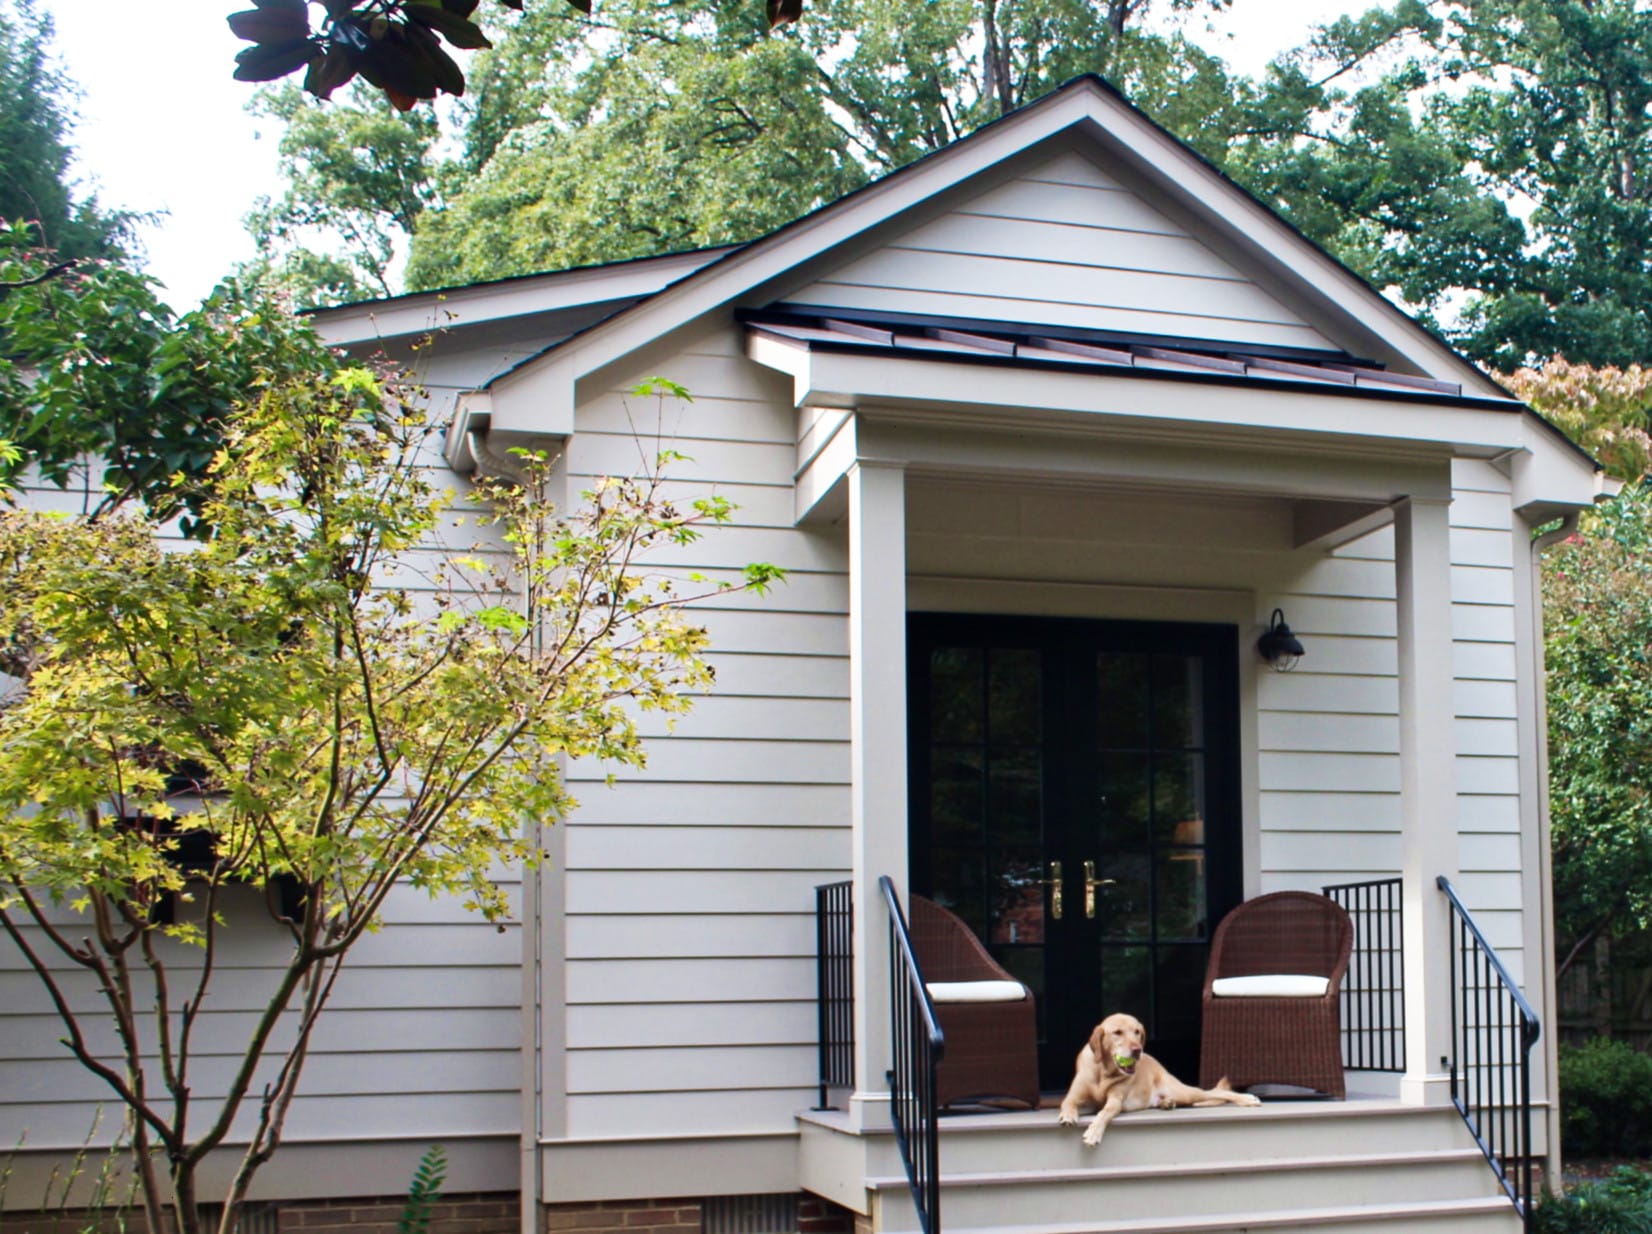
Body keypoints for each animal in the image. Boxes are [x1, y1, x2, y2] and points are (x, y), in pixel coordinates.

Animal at [1057, 1012, 1261, 1147]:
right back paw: (1166, 1103)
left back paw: (1247, 1098)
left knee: (1215, 1092)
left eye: (1137, 1031)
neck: (1104, 1071)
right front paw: (1068, 1116)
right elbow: (1067, 1103)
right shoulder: (1075, 1096)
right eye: (1117, 1032)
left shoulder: (1115, 1100)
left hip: (1183, 1091)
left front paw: (1094, 1132)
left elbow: (1104, 1113)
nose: (1137, 1050)